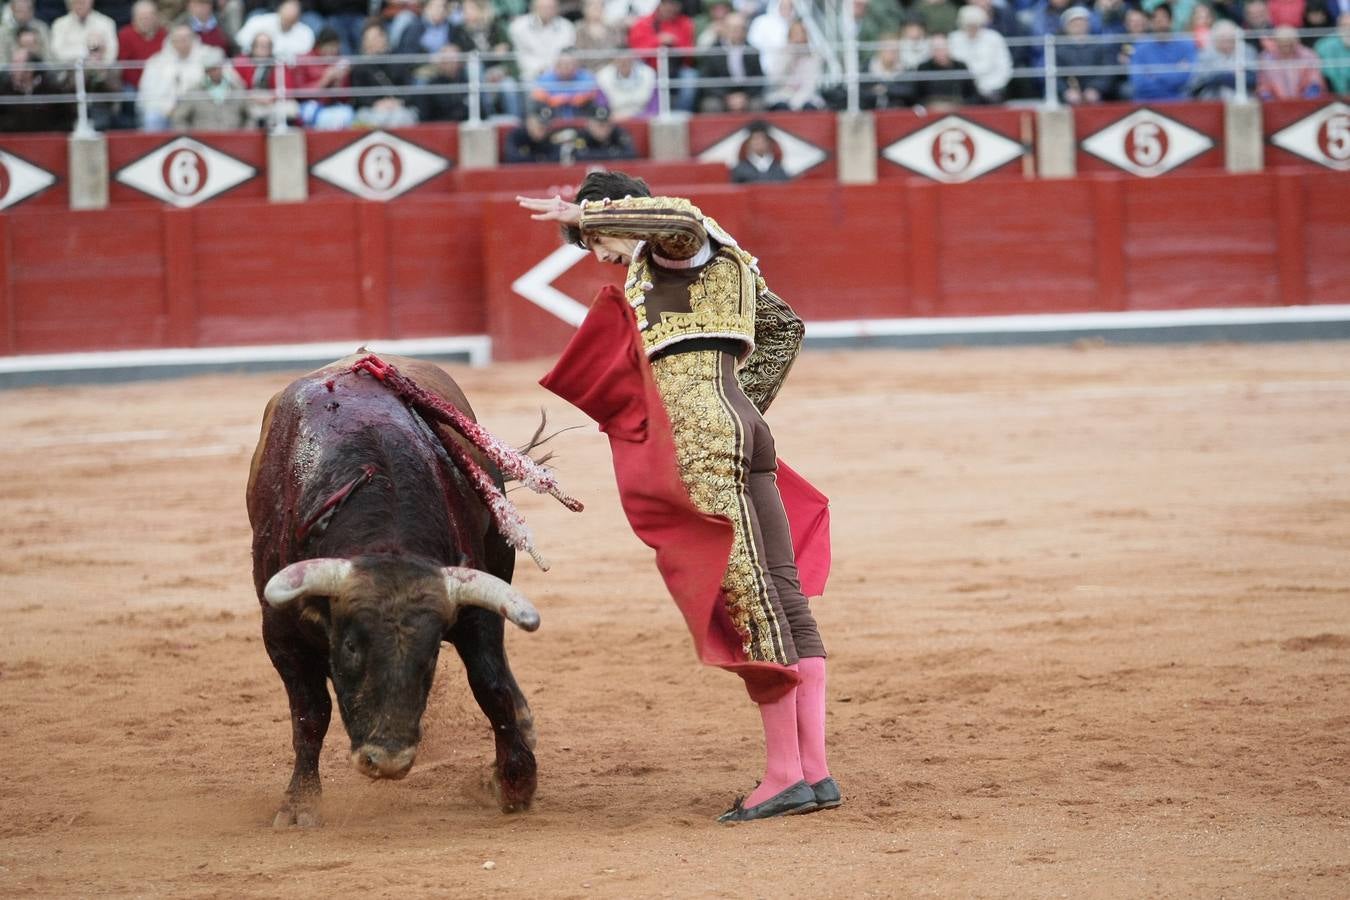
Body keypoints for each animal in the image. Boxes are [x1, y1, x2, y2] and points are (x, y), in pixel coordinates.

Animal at [248, 353, 558, 831]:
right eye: (351, 647)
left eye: (429, 656)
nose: (388, 761)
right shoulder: (280, 632)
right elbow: (310, 713)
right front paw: (299, 805)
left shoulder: (473, 609)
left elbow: (490, 686)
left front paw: (515, 783)